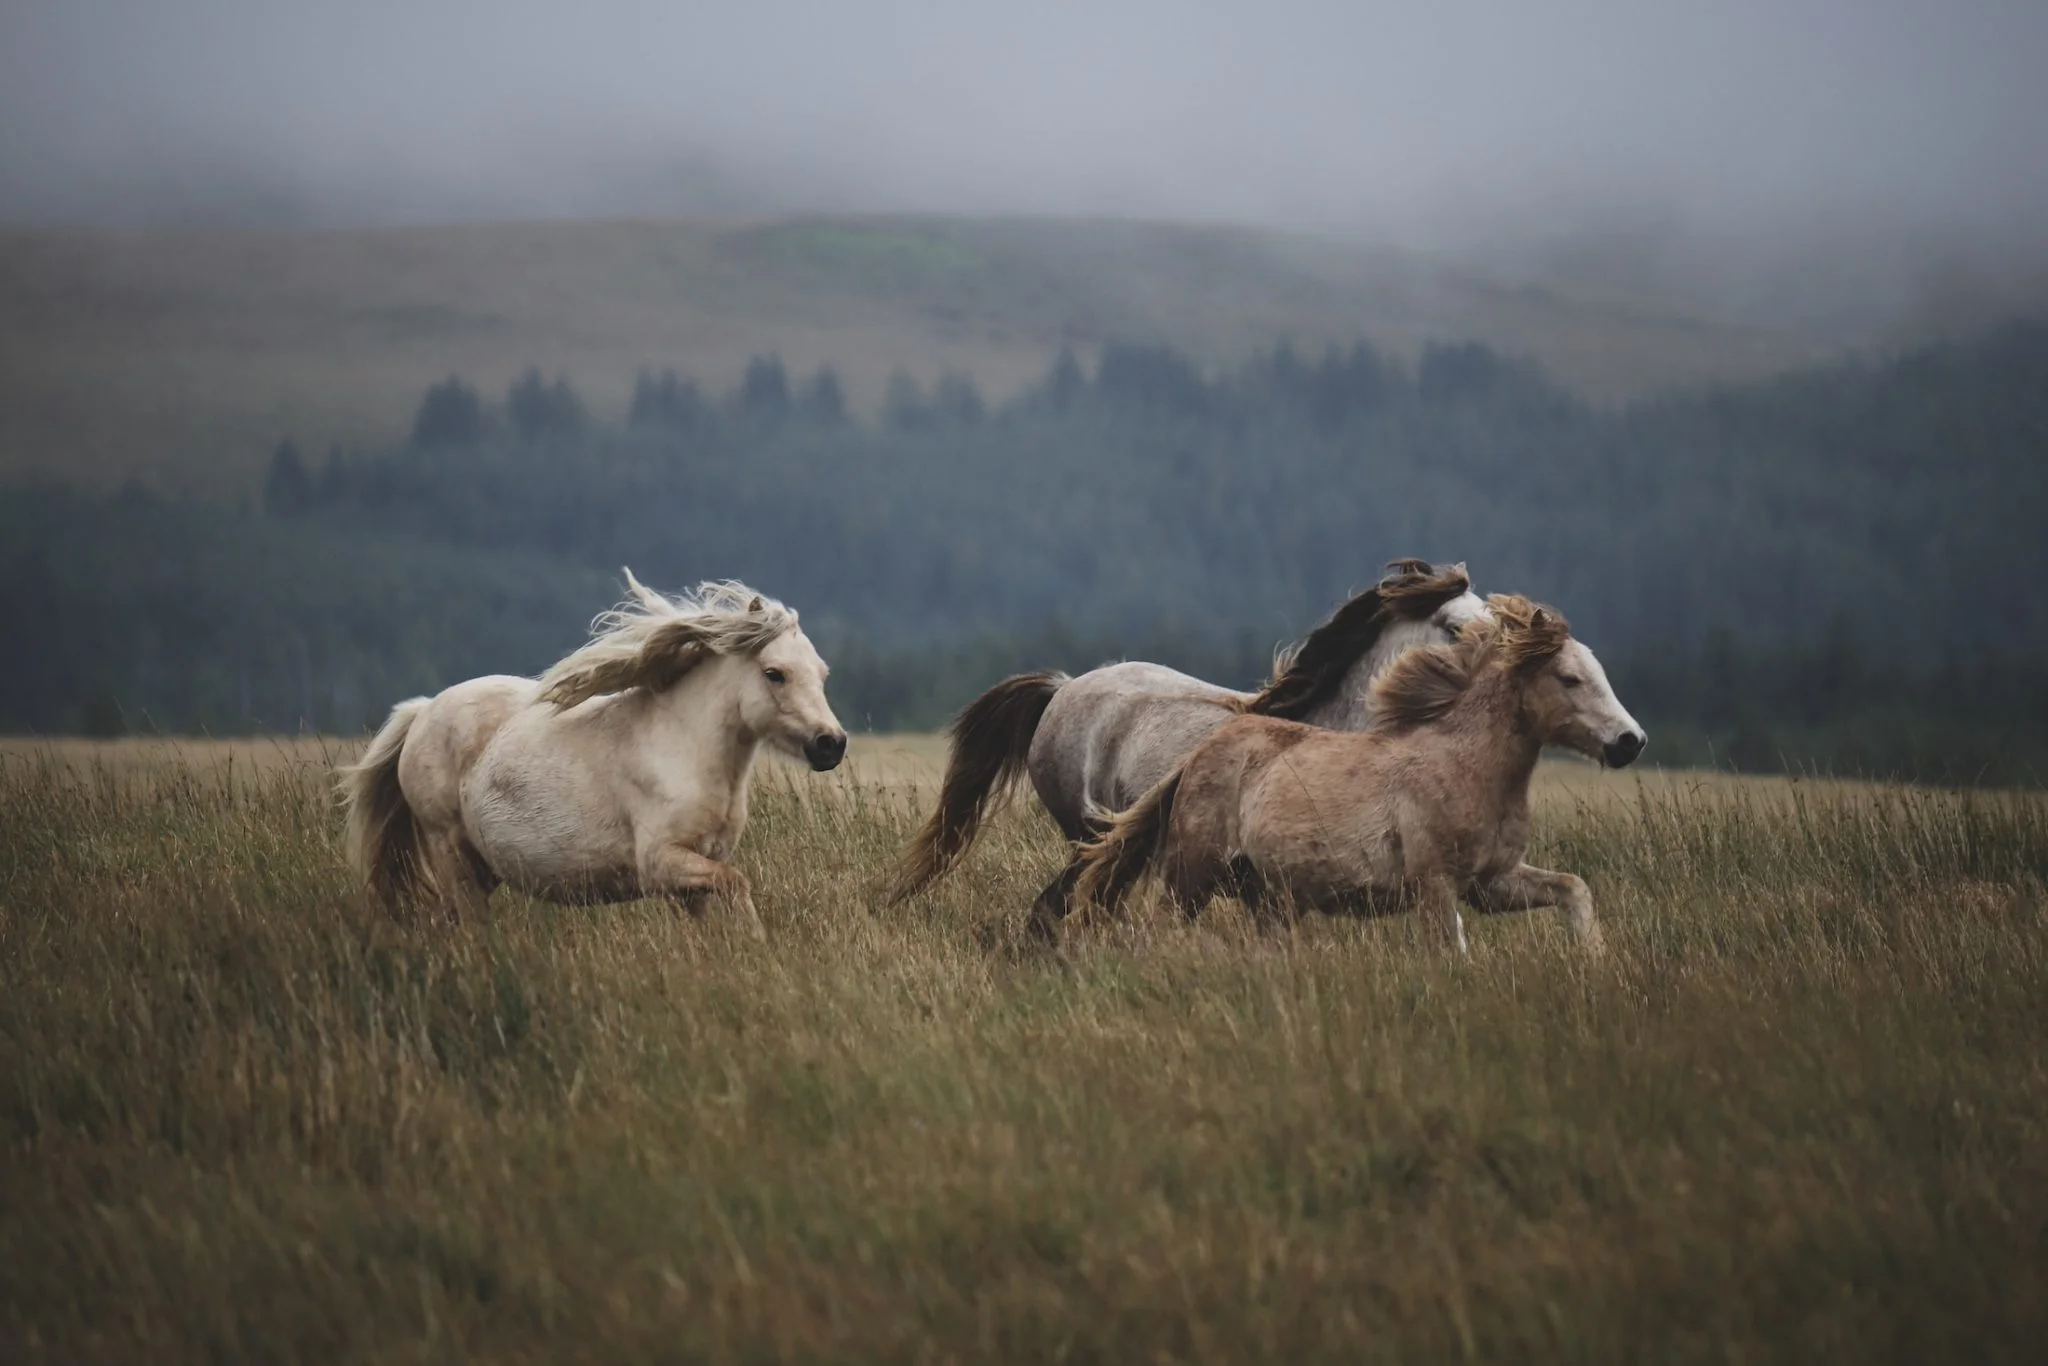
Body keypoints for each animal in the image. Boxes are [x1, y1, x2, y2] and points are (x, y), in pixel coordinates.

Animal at [338, 575, 848, 932]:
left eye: (823, 674)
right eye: (774, 673)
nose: (831, 744)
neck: (686, 750)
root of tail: (422, 711)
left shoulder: (693, 877)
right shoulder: (661, 864)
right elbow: (738, 885)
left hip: (480, 868)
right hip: (451, 852)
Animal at [1071, 595, 1645, 955]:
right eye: (1569, 678)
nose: (1630, 741)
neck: (1465, 765)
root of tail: (1197, 755)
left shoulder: (1493, 884)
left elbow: (1574, 889)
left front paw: (1596, 961)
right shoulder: (1436, 885)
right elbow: (1453, 953)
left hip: (1270, 898)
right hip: (1191, 876)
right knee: (1160, 927)